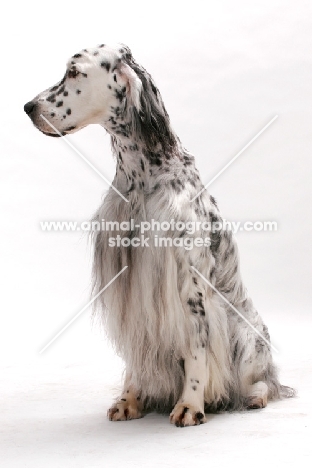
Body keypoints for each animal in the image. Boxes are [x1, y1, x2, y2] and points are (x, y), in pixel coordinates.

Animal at [25, 44, 294, 428]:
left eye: (74, 72)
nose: (28, 107)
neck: (141, 179)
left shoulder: (190, 284)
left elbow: (197, 350)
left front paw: (190, 405)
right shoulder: (129, 284)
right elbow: (137, 353)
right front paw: (129, 400)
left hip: (246, 336)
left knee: (267, 382)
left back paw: (254, 397)